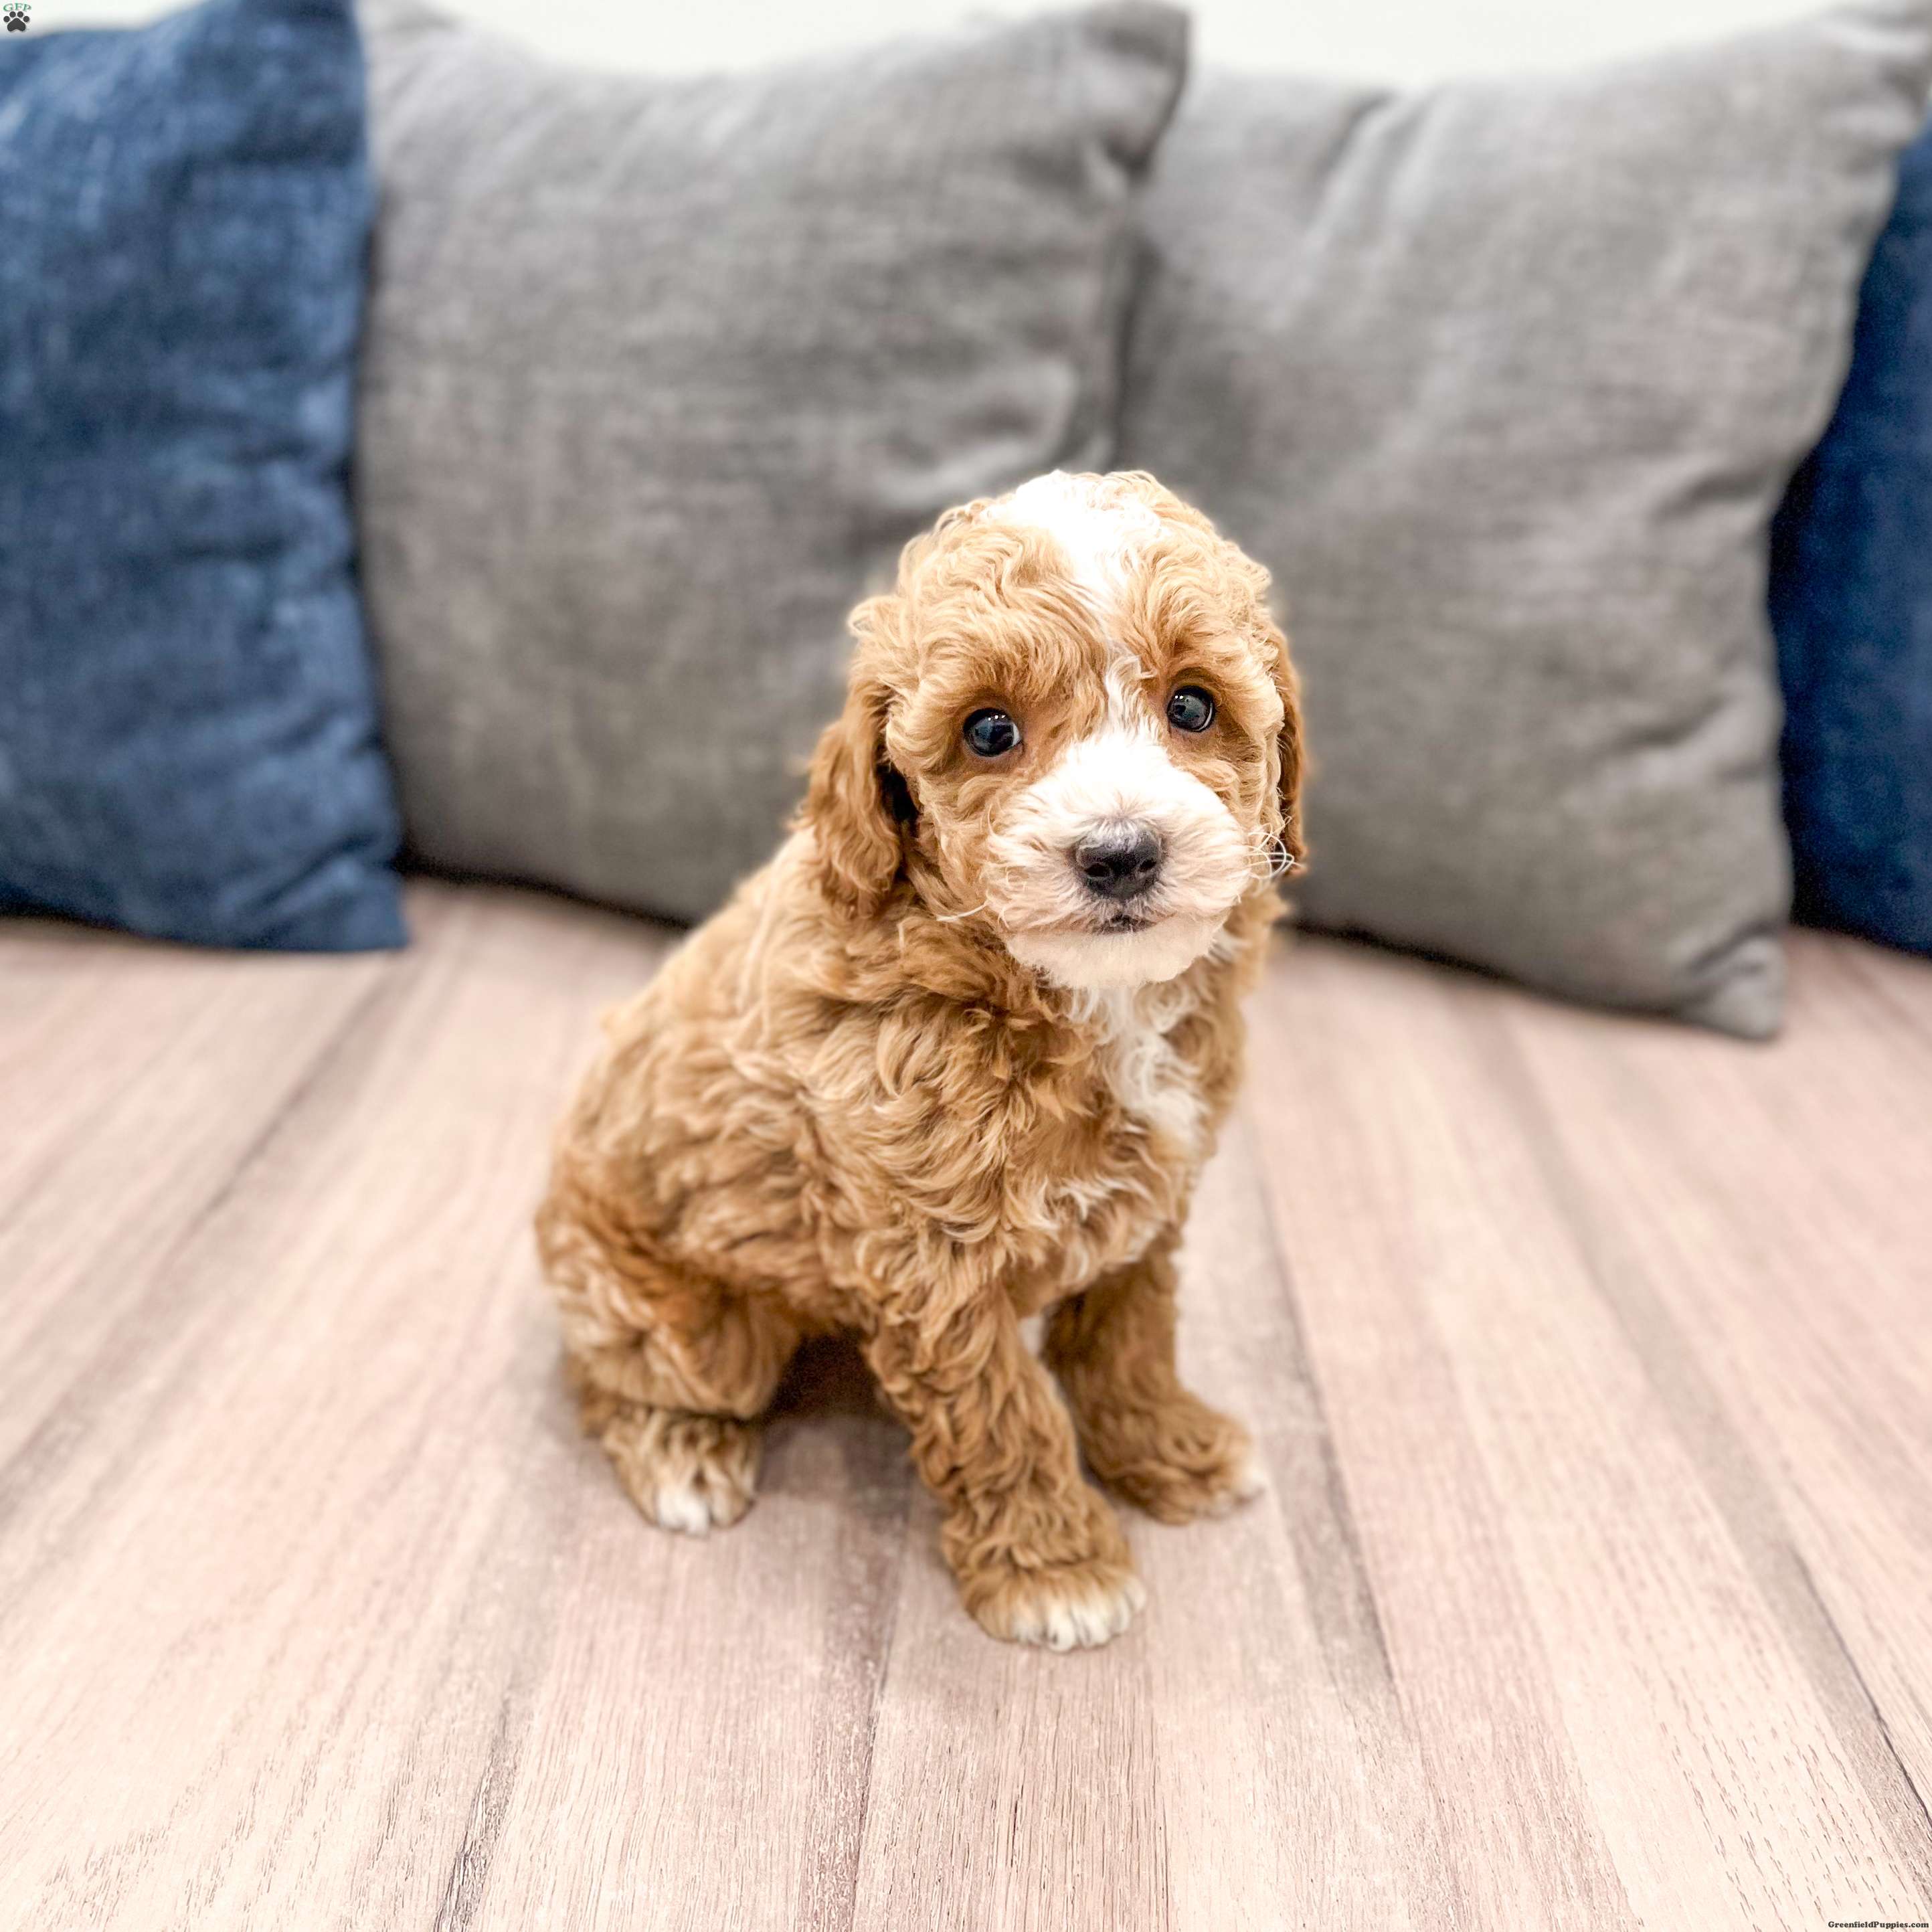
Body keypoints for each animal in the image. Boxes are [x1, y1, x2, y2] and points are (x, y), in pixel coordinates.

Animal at [536, 470, 1304, 1649]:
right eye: (989, 729)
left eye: (1191, 705)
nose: (1120, 852)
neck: (1074, 999)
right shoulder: (931, 1263)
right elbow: (1001, 1411)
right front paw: (1055, 1567)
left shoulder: (1152, 1200)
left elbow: (1127, 1333)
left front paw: (1167, 1446)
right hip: (685, 1319)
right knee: (613, 1373)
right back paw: (682, 1455)